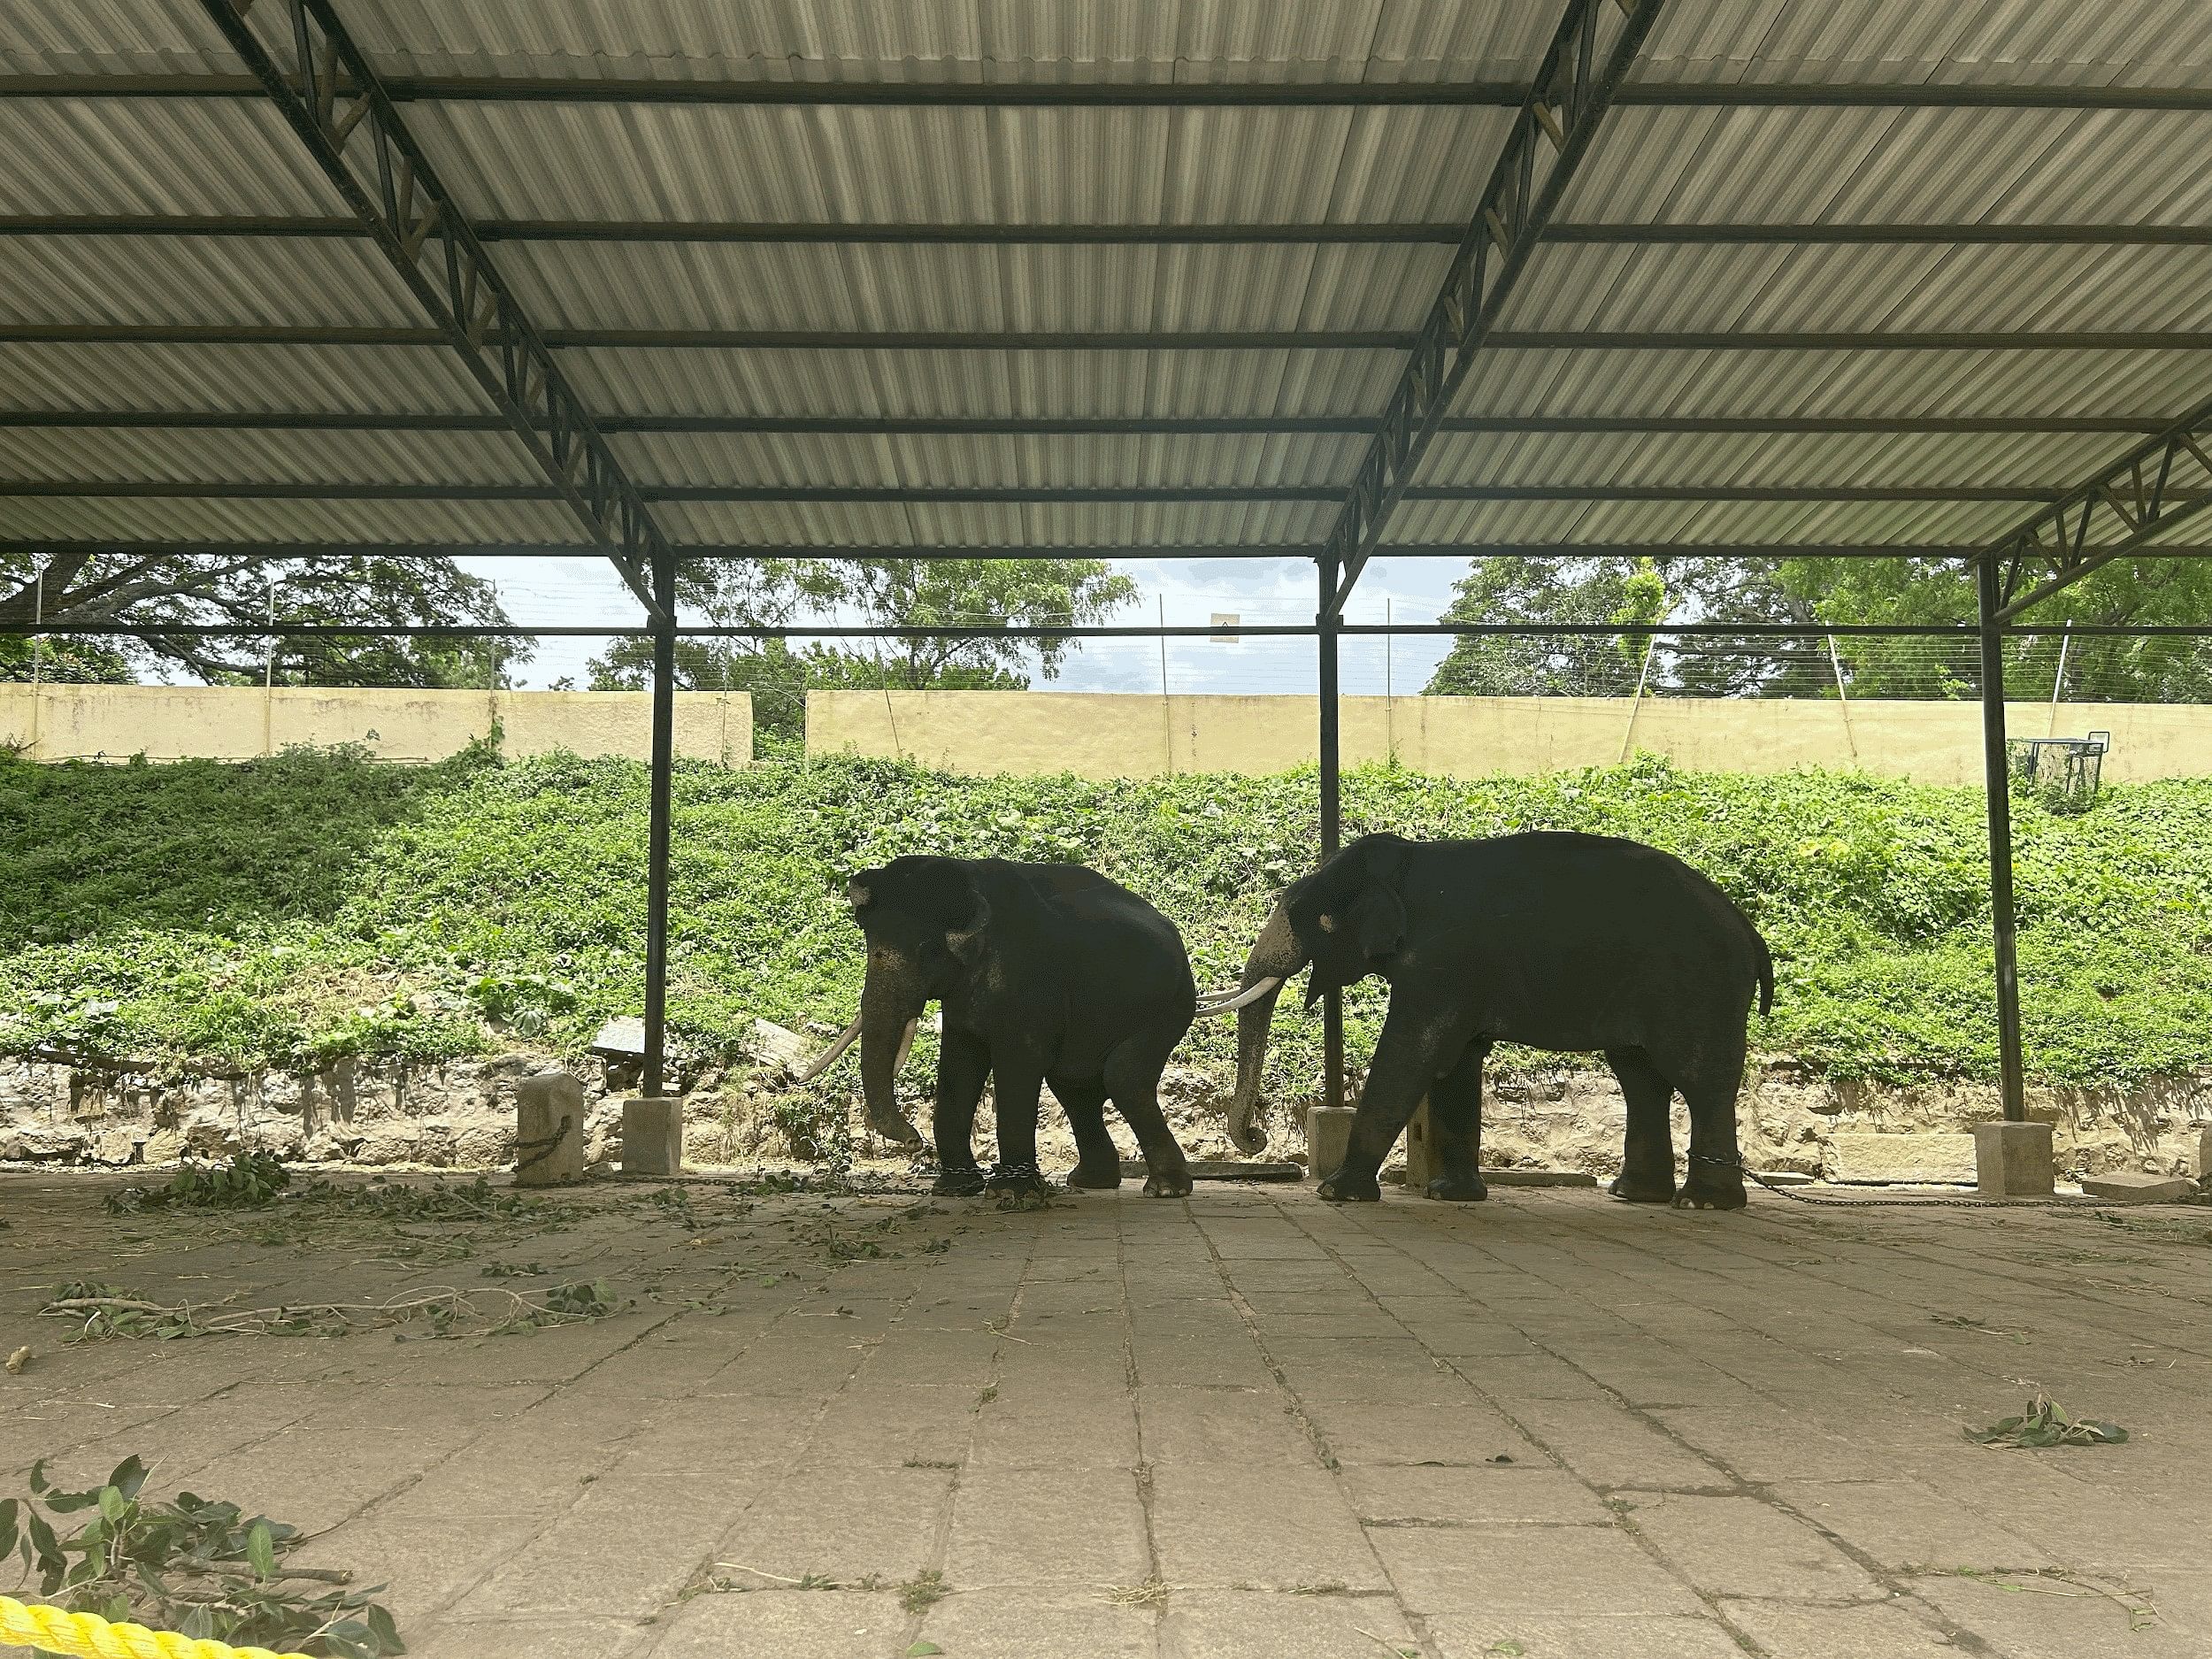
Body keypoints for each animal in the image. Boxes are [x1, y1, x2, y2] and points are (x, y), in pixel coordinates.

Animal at [796, 863, 1203, 1203]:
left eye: (927, 950)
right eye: (869, 945)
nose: (913, 1141)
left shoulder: (1029, 978)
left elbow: (1020, 1061)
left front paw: (1010, 1193)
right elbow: (959, 1064)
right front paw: (954, 1188)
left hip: (1167, 1007)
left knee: (1123, 1079)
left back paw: (1165, 1190)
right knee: (1073, 1087)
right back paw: (1090, 1182)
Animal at [1221, 832, 1770, 1212]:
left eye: (1305, 916)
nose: (1257, 1139)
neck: (1409, 862)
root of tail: (1749, 931)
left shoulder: (1442, 963)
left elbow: (1413, 1051)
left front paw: (1338, 1194)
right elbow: (1456, 1061)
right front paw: (1450, 1196)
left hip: (1700, 989)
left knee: (1700, 1080)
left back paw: (1702, 1203)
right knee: (1640, 1077)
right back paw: (1635, 1195)